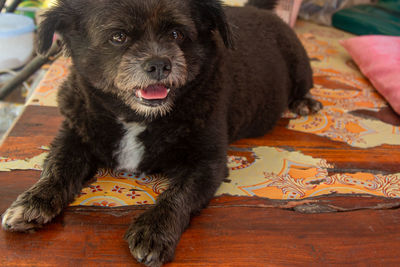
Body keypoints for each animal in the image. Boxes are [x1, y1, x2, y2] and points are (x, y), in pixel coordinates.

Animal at [1, 0, 322, 266]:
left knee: (303, 86)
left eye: (177, 34)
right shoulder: (73, 136)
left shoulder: (207, 162)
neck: (136, 117)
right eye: (118, 36)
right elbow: (57, 168)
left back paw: (304, 102)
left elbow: (178, 194)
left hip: (300, 66)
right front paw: (33, 201)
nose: (158, 64)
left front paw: (155, 230)